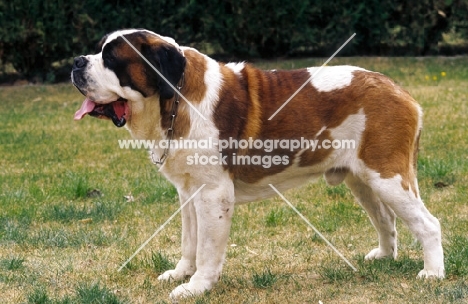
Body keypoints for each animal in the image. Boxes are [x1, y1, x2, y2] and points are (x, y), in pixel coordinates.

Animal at [71, 29, 444, 300]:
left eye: (111, 58)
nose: (76, 61)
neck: (174, 99)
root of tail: (398, 89)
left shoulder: (213, 194)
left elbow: (207, 247)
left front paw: (196, 286)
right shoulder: (188, 192)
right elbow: (189, 240)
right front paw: (181, 273)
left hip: (387, 176)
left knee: (428, 224)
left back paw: (432, 273)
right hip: (362, 179)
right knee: (385, 219)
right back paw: (384, 256)